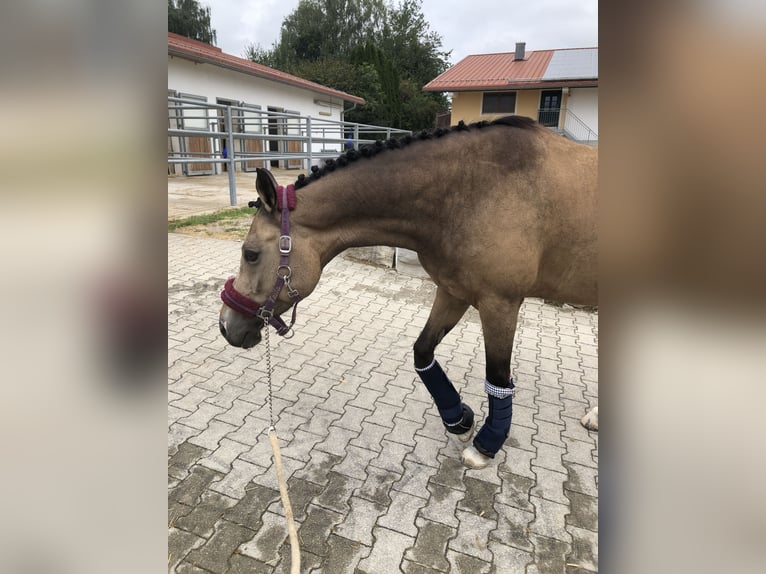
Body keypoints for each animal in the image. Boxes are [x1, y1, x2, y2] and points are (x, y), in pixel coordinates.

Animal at [219, 116, 596, 468]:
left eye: (250, 254)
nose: (226, 327)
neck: (476, 189)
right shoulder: (452, 292)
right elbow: (422, 351)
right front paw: (459, 420)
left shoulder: (500, 303)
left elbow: (498, 377)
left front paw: (487, 444)